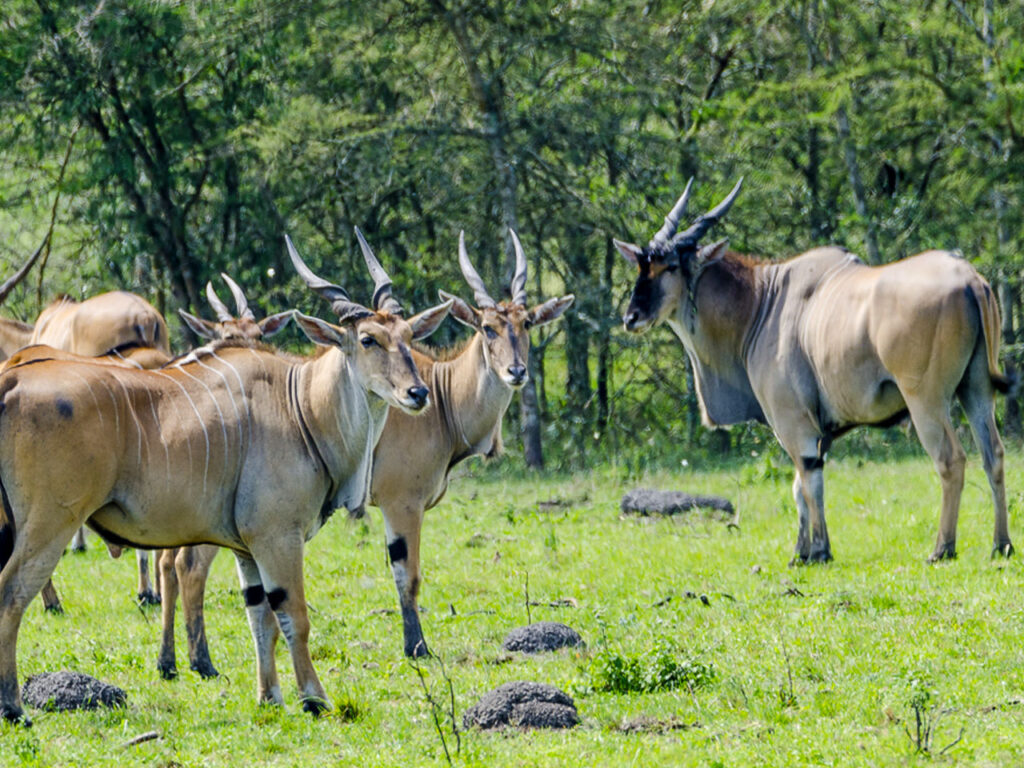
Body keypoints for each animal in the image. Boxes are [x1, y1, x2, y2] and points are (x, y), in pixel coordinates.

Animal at [0, 236, 452, 729]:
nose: (418, 393)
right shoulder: (277, 536)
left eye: (409, 337)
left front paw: (269, 697)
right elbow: (293, 615)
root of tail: (12, 378)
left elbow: (260, 618)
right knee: (12, 592)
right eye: (369, 340)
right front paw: (314, 698)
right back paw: (14, 707)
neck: (299, 405)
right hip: (49, 524)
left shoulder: (246, 549)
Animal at [614, 179, 1007, 565]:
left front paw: (818, 551)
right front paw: (800, 552)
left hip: (926, 400)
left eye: (670, 267)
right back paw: (1001, 545)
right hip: (976, 391)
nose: (631, 316)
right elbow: (800, 486)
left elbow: (807, 480)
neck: (760, 303)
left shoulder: (793, 422)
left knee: (951, 460)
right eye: (641, 267)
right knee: (994, 455)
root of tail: (970, 280)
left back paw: (942, 548)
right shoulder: (817, 431)